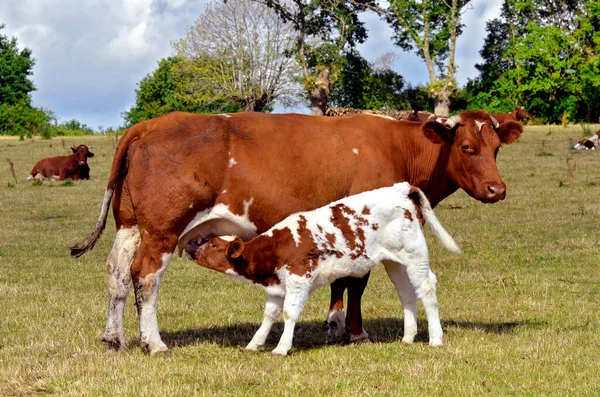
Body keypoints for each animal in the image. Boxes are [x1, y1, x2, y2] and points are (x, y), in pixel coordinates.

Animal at [69, 110, 520, 354]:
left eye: (496, 148)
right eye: (467, 148)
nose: (497, 190)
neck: (397, 145)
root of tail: (149, 125)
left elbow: (341, 281)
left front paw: (335, 325)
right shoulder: (360, 227)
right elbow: (356, 283)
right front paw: (354, 332)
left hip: (130, 225)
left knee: (116, 274)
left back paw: (113, 338)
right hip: (162, 230)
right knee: (145, 276)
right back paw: (154, 342)